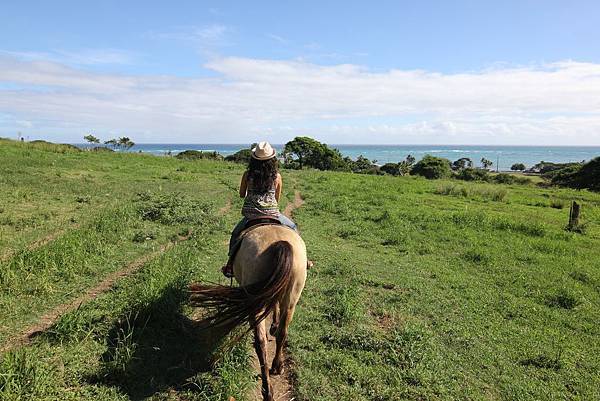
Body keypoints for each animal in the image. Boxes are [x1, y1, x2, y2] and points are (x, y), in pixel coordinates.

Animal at [190, 225, 308, 400]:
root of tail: (281, 243)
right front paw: (274, 325)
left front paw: (272, 325)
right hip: (291, 300)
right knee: (281, 334)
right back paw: (276, 368)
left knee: (260, 342)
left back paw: (267, 390)